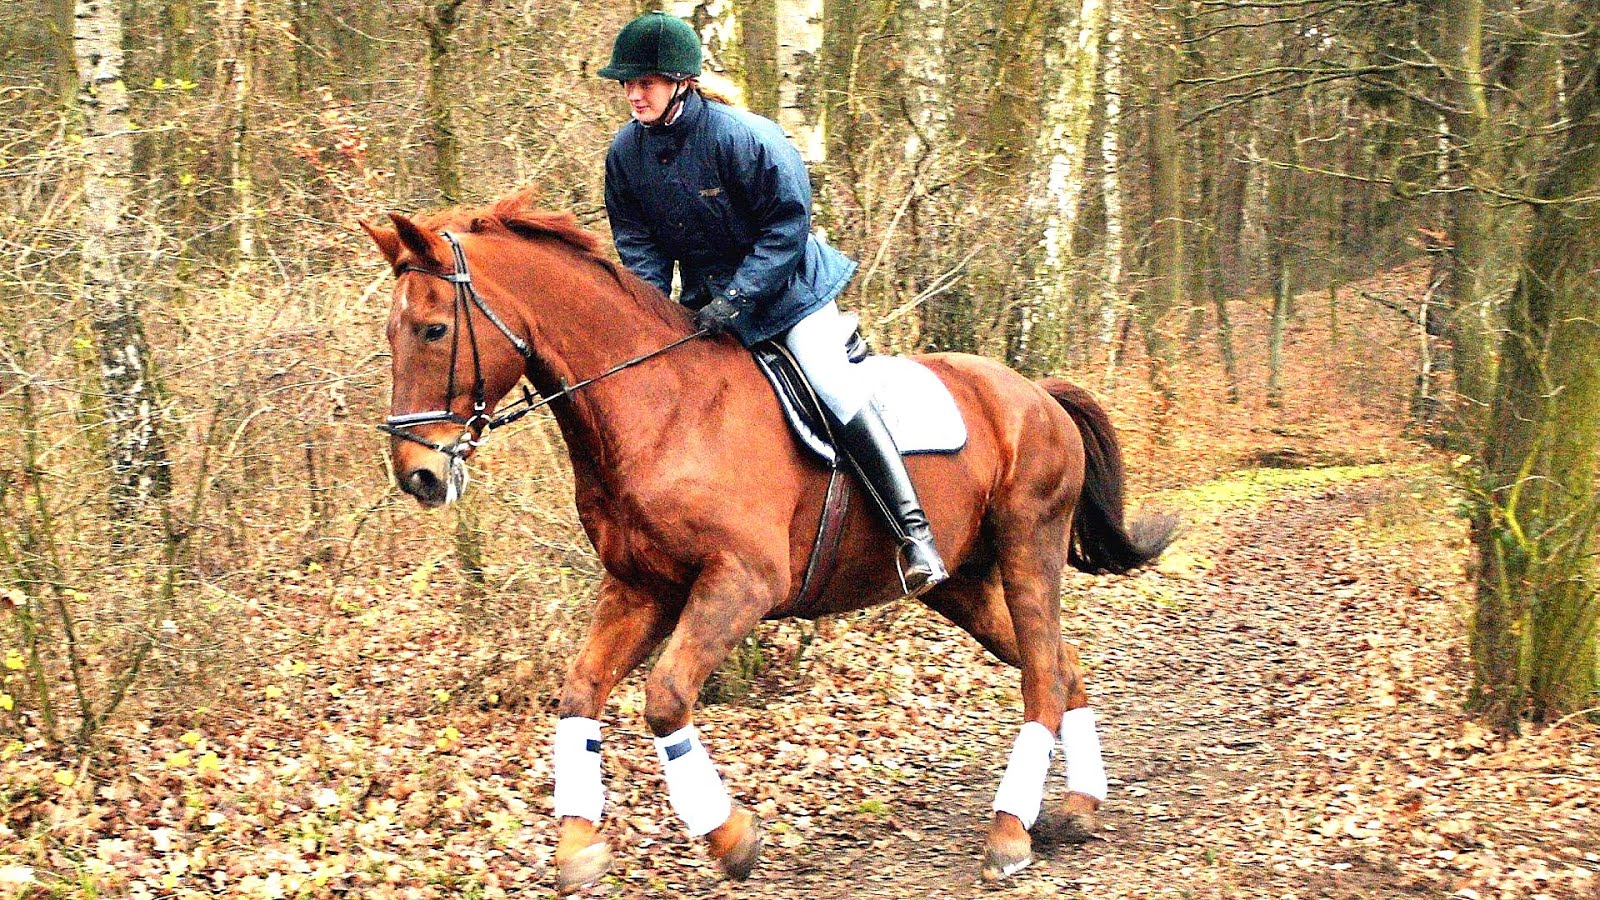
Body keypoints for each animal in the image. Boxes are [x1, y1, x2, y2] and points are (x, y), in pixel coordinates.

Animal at [361, 189, 1174, 893]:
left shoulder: (740, 583)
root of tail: (1037, 394)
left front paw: (730, 837)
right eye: (392, 333)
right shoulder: (641, 586)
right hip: (963, 585)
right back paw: (1077, 807)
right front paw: (579, 848)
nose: (417, 476)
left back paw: (1009, 833)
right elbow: (580, 694)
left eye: (433, 329)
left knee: (1042, 678)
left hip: (1028, 545)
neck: (658, 408)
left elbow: (665, 700)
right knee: (1062, 664)